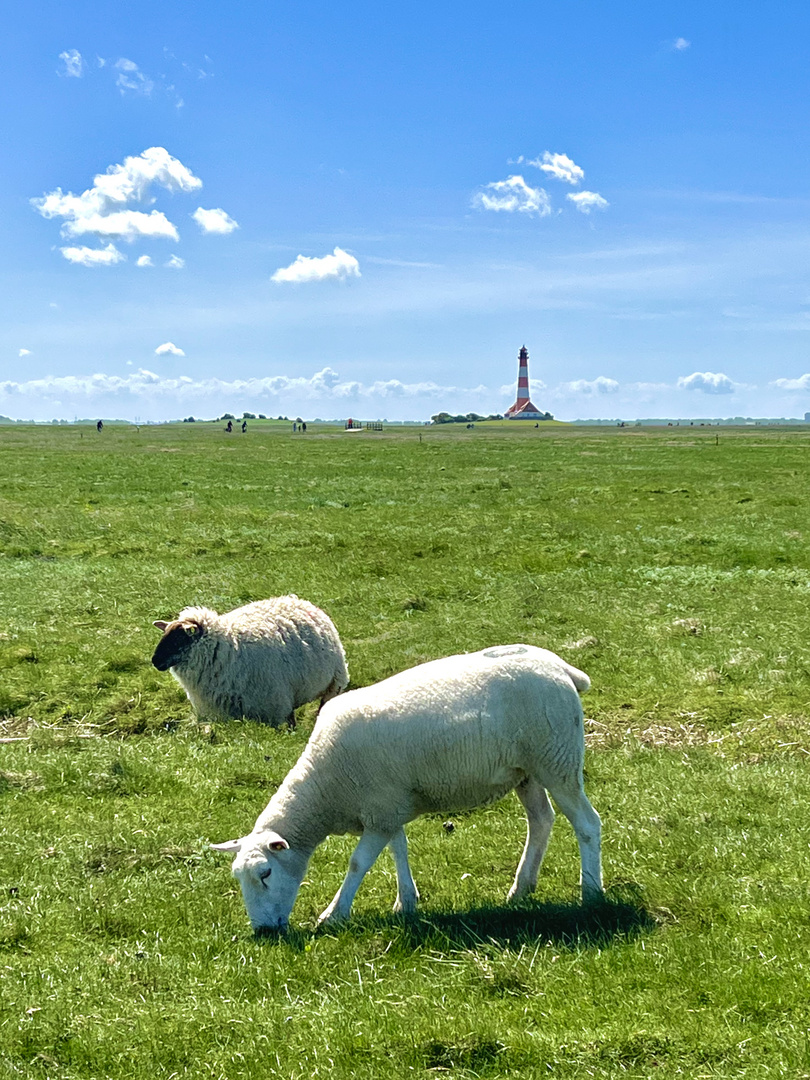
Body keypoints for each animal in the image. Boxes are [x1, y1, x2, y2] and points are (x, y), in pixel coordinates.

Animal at [152, 596, 349, 730]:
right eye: (164, 635)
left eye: (178, 640)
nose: (155, 661)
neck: (226, 649)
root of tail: (301, 601)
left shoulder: (273, 708)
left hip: (334, 683)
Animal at [212, 643, 604, 933]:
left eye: (265, 874)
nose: (264, 932)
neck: (324, 786)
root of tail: (562, 668)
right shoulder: (387, 806)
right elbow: (398, 849)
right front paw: (405, 903)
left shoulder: (380, 811)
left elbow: (358, 863)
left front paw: (334, 914)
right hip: (528, 770)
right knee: (541, 820)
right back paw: (521, 889)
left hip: (557, 758)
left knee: (587, 823)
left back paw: (591, 892)